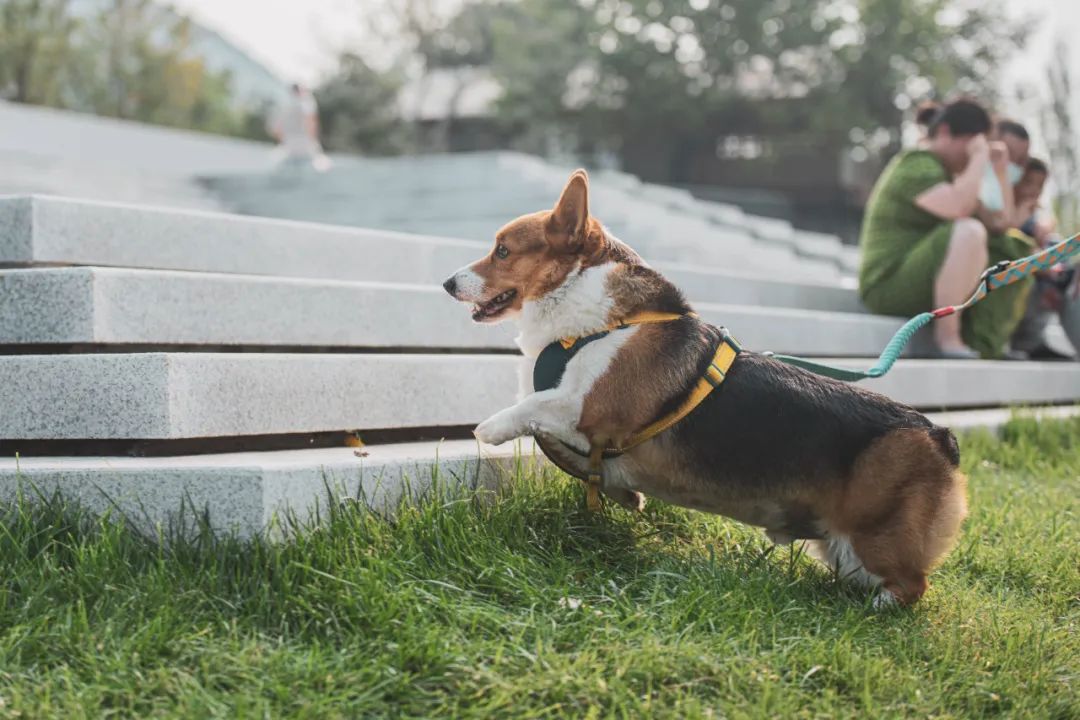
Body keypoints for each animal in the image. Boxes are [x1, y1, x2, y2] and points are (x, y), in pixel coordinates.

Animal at [442, 171, 967, 604]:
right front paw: (623, 493)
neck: (589, 315)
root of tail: (938, 434)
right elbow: (556, 446)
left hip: (874, 539)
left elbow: (533, 405)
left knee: (912, 586)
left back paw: (875, 608)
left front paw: (489, 429)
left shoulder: (588, 403)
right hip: (844, 549)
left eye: (502, 250)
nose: (447, 283)